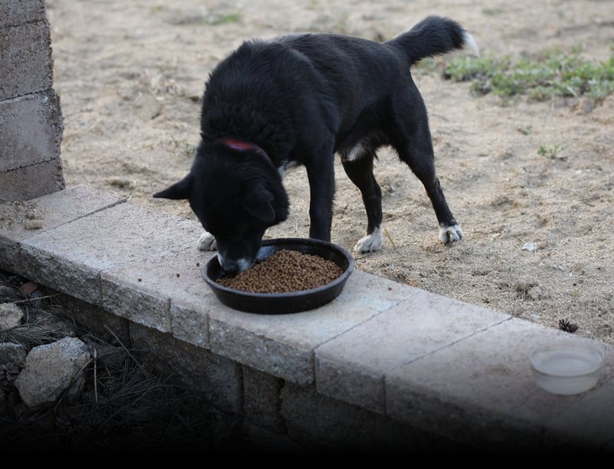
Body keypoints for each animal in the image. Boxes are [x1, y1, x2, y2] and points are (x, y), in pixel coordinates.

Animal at [155, 15, 482, 274]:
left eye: (244, 227)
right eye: (214, 226)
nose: (230, 269)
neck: (241, 119)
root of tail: (393, 49)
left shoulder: (320, 158)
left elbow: (319, 210)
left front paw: (316, 251)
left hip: (412, 145)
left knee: (433, 184)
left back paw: (449, 228)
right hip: (353, 158)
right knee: (374, 192)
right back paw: (374, 238)